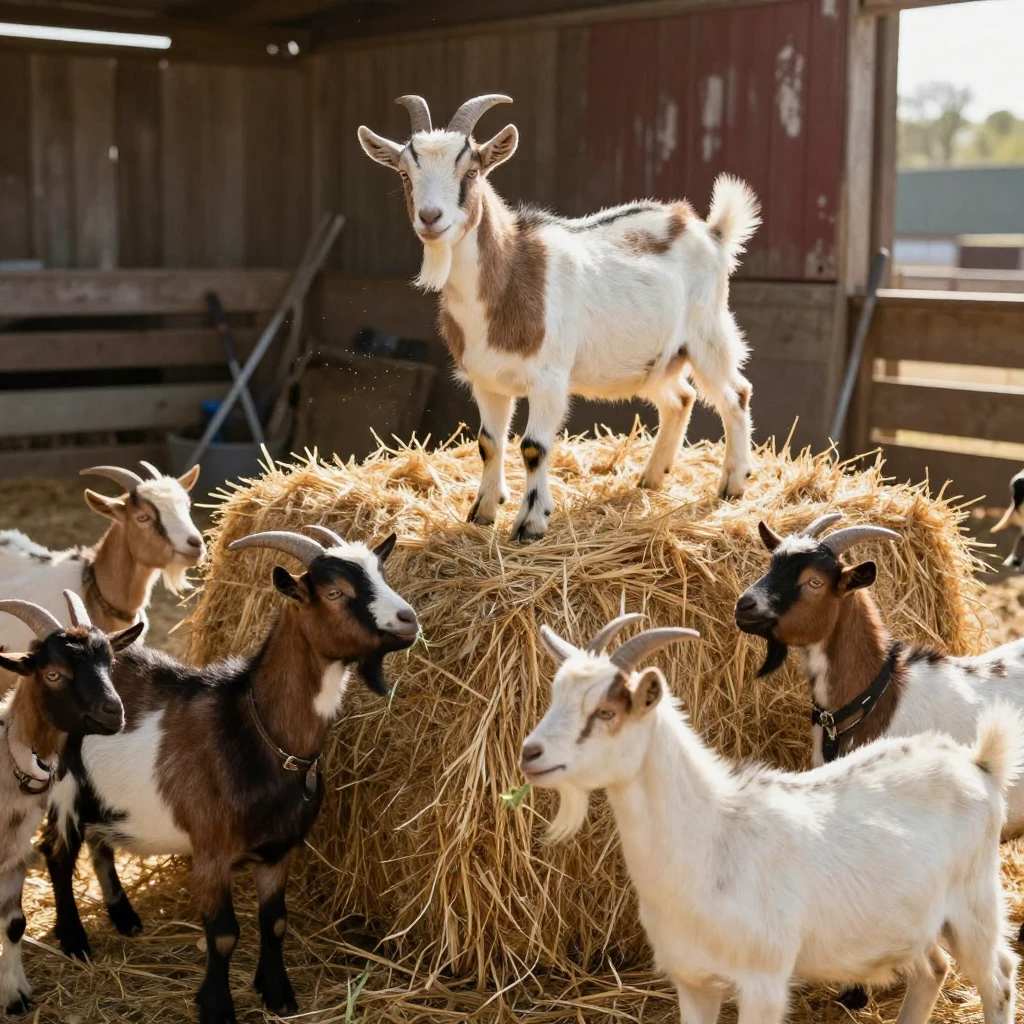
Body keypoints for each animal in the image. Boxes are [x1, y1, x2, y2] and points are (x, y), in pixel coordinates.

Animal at [0, 592, 139, 1015]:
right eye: (53, 673)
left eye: (110, 663)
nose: (114, 711)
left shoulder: (15, 854)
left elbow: (14, 924)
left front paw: (15, 995)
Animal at [42, 526, 419, 1024]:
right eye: (335, 592)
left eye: (382, 573)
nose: (408, 619)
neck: (256, 733)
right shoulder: (211, 852)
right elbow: (222, 935)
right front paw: (217, 1006)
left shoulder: (279, 850)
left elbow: (274, 922)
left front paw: (277, 993)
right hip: (62, 785)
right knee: (57, 853)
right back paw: (74, 940)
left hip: (100, 795)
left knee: (100, 842)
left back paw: (124, 918)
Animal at [358, 94, 760, 543]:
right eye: (405, 173)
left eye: (471, 171)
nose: (430, 218)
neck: (511, 272)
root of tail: (709, 231)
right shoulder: (486, 380)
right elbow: (489, 443)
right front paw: (482, 511)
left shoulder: (548, 379)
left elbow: (533, 446)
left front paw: (530, 523)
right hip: (656, 359)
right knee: (681, 398)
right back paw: (652, 477)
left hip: (708, 332)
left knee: (735, 394)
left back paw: (733, 483)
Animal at [522, 613, 1021, 1024]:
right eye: (553, 698)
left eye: (606, 712)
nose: (530, 753)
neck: (711, 835)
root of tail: (978, 763)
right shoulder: (693, 980)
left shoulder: (763, 980)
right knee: (933, 968)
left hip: (974, 903)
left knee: (998, 976)